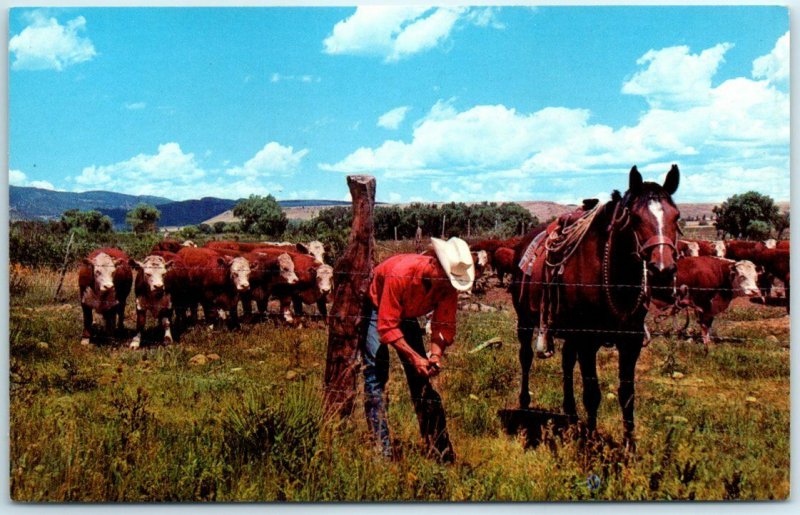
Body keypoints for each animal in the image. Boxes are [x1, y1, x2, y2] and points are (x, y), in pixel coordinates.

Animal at [512, 167, 680, 450]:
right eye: (635, 218)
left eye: (676, 216)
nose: (662, 271)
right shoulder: (588, 341)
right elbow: (592, 393)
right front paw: (590, 444)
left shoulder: (630, 342)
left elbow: (627, 394)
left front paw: (630, 447)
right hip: (525, 320)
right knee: (525, 358)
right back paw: (525, 406)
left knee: (567, 362)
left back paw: (570, 413)